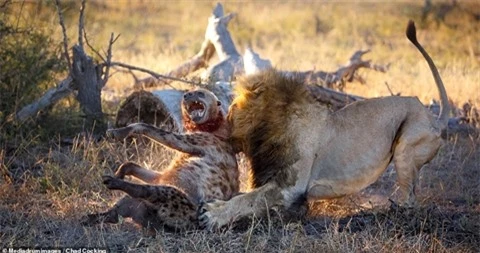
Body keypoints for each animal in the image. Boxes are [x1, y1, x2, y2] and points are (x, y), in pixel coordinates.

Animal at [85, 88, 240, 231]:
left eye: (200, 93)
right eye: (189, 92)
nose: (186, 95)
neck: (211, 128)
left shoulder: (190, 141)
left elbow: (144, 125)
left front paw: (117, 133)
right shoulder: (162, 175)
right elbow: (133, 164)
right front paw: (120, 172)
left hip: (177, 199)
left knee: (144, 190)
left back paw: (112, 182)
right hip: (144, 204)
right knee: (119, 211)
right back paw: (90, 217)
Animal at [198, 20, 450, 229]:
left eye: (231, 106)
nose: (220, 114)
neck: (266, 129)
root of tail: (435, 119)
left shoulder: (289, 187)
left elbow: (249, 199)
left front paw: (213, 214)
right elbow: (245, 196)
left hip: (406, 147)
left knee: (410, 201)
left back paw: (386, 213)